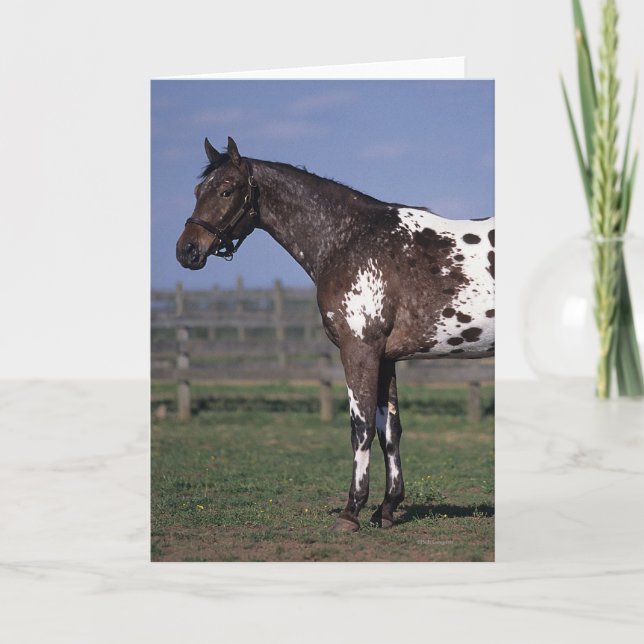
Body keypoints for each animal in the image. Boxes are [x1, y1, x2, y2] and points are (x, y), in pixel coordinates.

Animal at [176, 137, 494, 532]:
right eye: (197, 191)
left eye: (226, 189)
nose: (187, 250)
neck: (349, 240)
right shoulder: (385, 358)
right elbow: (390, 430)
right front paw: (386, 509)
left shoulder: (359, 350)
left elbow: (361, 428)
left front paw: (351, 511)